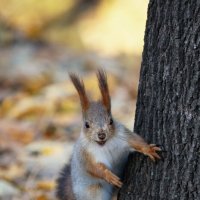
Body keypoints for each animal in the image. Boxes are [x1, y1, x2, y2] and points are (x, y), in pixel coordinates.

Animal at [55, 69, 161, 200]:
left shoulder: (123, 135)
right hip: (94, 192)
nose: (101, 135)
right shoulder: (85, 154)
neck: (105, 144)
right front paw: (109, 176)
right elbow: (94, 168)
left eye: (111, 121)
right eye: (86, 125)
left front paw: (149, 149)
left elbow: (136, 141)